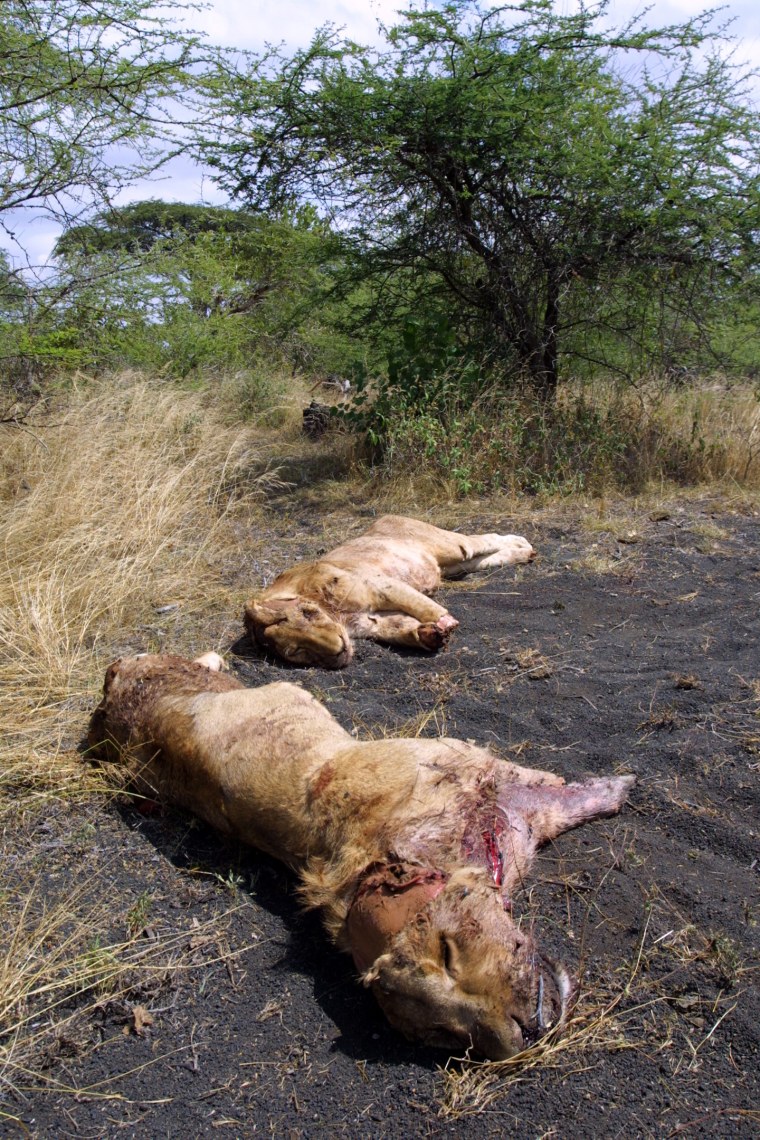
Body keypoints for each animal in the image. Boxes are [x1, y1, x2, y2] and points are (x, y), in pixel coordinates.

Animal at [89, 656, 638, 1062]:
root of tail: (113, 685)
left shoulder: (471, 765)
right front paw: (615, 787)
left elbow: (556, 787)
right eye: (444, 1034)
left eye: (448, 951)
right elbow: (562, 795)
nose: (523, 1035)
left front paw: (621, 784)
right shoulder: (493, 787)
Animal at [243, 517, 535, 665]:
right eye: (297, 652)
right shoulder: (371, 623)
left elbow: (422, 606)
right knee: (487, 558)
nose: (340, 650)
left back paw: (524, 543)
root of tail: (388, 516)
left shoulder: (379, 585)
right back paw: (523, 553)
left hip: (452, 546)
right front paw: (428, 635)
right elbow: (400, 627)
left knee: (485, 540)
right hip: (455, 564)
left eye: (308, 614)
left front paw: (445, 623)